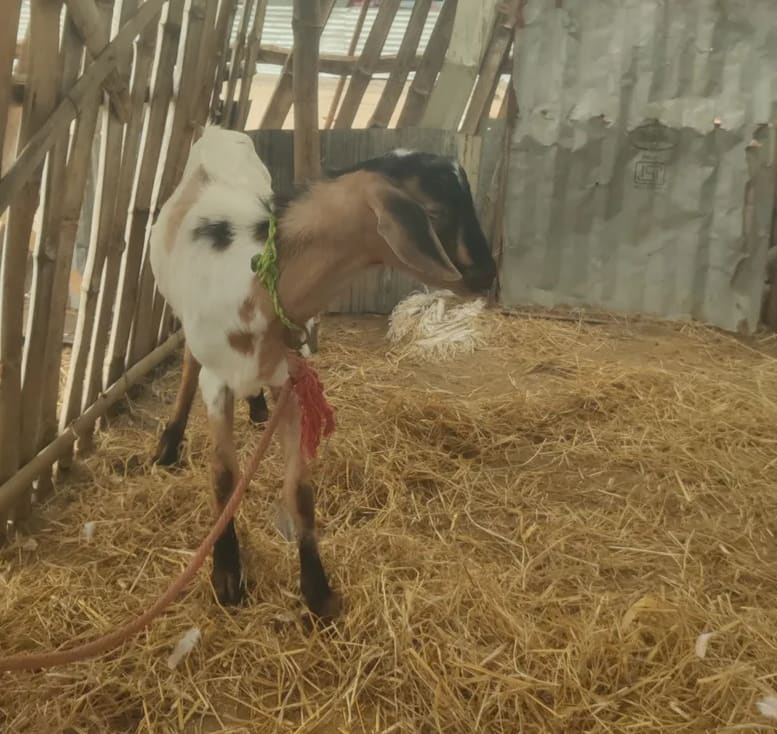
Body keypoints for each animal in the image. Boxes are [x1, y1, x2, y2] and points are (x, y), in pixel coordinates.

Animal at [149, 128, 496, 617]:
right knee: (187, 361)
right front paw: (227, 574)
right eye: (434, 211)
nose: (488, 274)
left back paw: (256, 408)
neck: (261, 283)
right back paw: (169, 443)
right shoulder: (217, 381)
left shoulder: (291, 380)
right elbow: (223, 476)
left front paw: (318, 591)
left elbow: (300, 491)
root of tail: (218, 131)